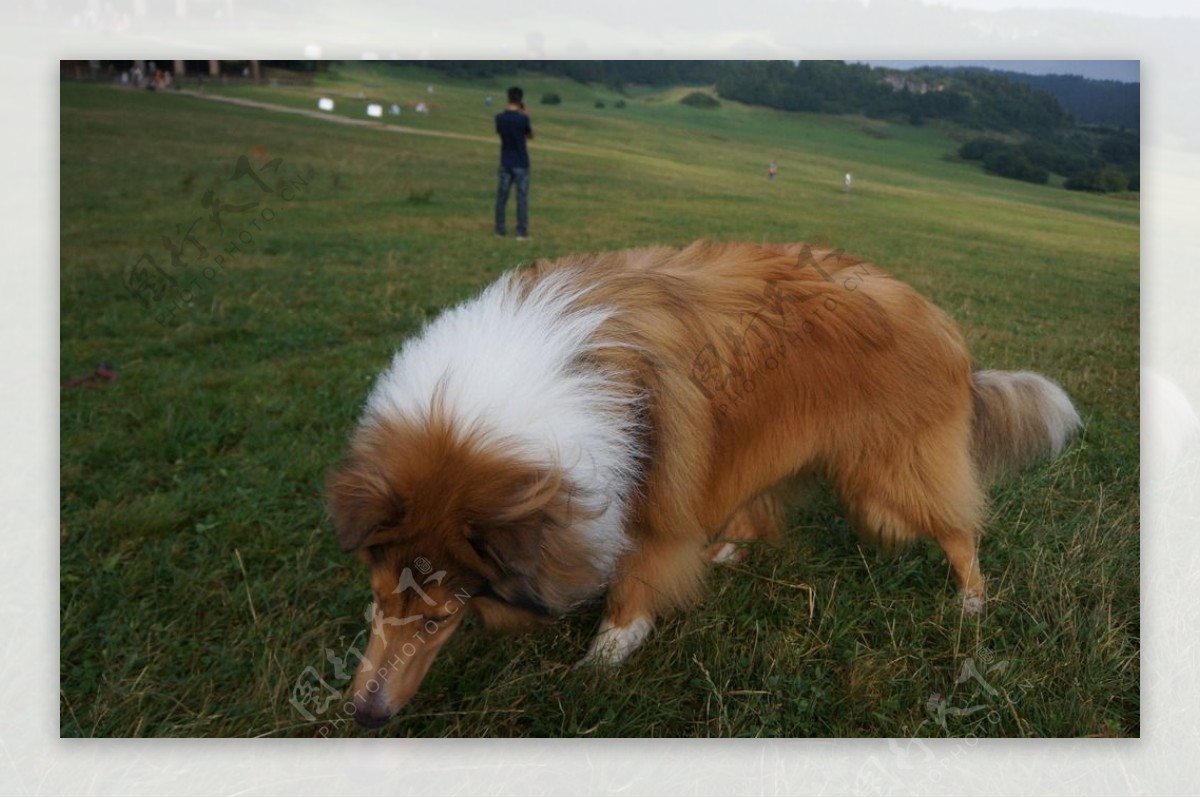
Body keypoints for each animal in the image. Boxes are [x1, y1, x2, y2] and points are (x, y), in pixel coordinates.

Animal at [326, 240, 1080, 724]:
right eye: (378, 600)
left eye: (436, 618)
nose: (365, 714)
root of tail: (942, 324)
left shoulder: (651, 496)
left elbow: (637, 582)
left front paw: (603, 659)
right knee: (760, 507)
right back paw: (725, 551)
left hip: (887, 482)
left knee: (957, 529)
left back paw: (971, 604)